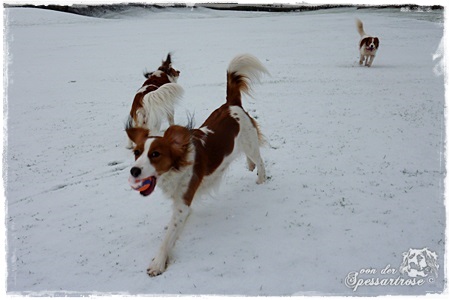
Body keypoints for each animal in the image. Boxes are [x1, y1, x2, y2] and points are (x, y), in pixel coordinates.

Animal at [125, 54, 268, 276]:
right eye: (137, 153)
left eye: (155, 154)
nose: (134, 170)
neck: (177, 168)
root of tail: (231, 104)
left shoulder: (183, 204)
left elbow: (168, 236)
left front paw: (158, 262)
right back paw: (249, 165)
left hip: (250, 142)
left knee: (260, 160)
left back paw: (261, 179)